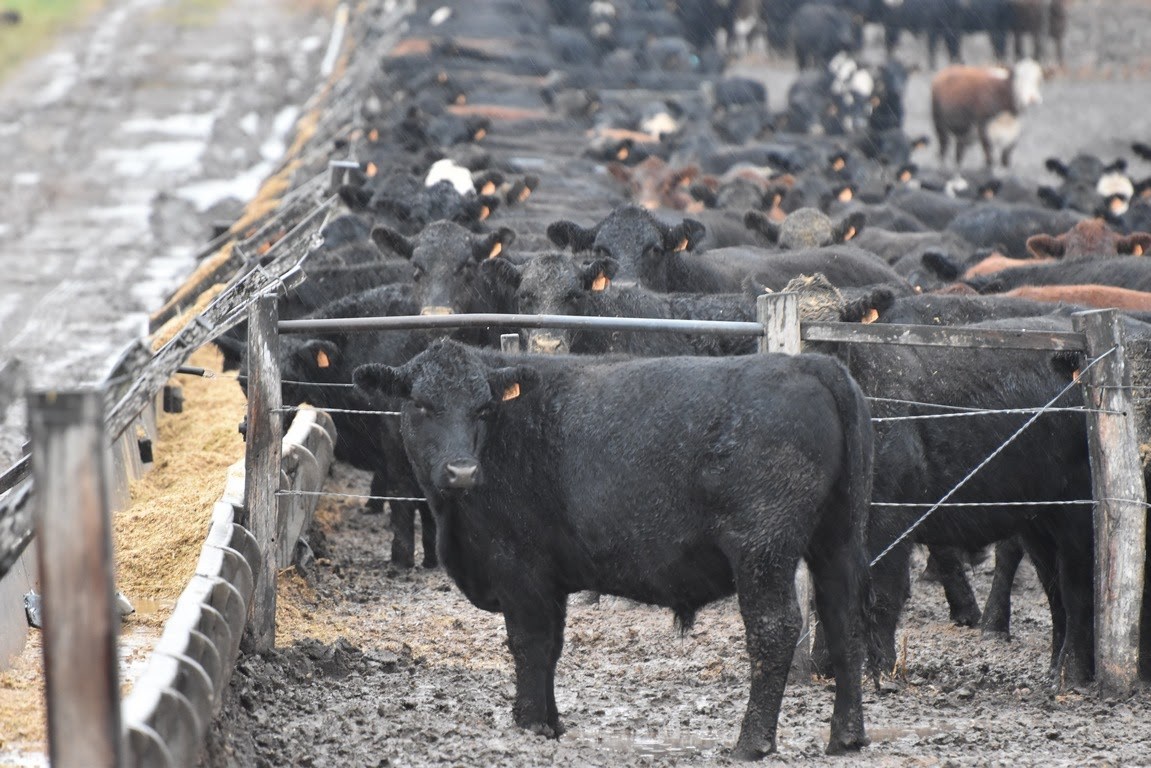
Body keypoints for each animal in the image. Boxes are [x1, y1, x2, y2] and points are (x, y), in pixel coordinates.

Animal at [354, 338, 874, 759]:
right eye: (421, 404)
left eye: (482, 408)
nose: (461, 470)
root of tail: (809, 363)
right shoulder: (550, 577)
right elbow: (552, 645)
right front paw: (552, 723)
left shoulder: (518, 566)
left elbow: (528, 642)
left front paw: (529, 724)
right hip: (838, 539)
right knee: (844, 621)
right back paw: (847, 737)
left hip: (762, 548)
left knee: (775, 629)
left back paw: (752, 742)